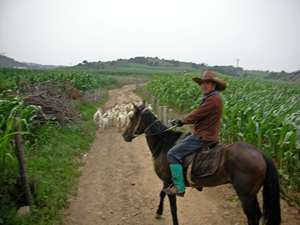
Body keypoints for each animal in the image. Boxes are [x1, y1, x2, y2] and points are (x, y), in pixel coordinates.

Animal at [122, 102, 282, 225]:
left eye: (131, 118)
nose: (124, 135)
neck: (164, 145)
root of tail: (261, 154)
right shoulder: (166, 182)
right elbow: (161, 194)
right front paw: (158, 211)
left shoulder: (168, 181)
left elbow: (173, 208)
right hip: (251, 195)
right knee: (258, 216)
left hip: (245, 196)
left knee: (253, 218)